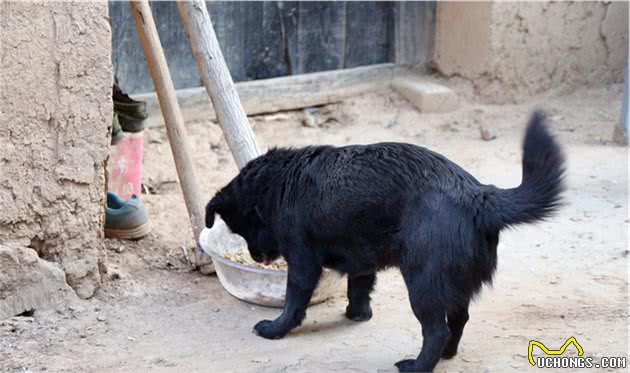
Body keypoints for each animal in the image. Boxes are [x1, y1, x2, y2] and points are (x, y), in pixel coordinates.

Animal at [207, 112, 568, 370]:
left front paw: (276, 328)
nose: (257, 258)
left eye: (243, 230)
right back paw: (446, 356)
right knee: (458, 321)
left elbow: (294, 302)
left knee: (436, 331)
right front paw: (357, 314)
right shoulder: (360, 258)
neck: (279, 182)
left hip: (423, 284)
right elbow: (358, 288)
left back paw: (417, 366)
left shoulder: (302, 262)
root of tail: (477, 195)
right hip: (452, 285)